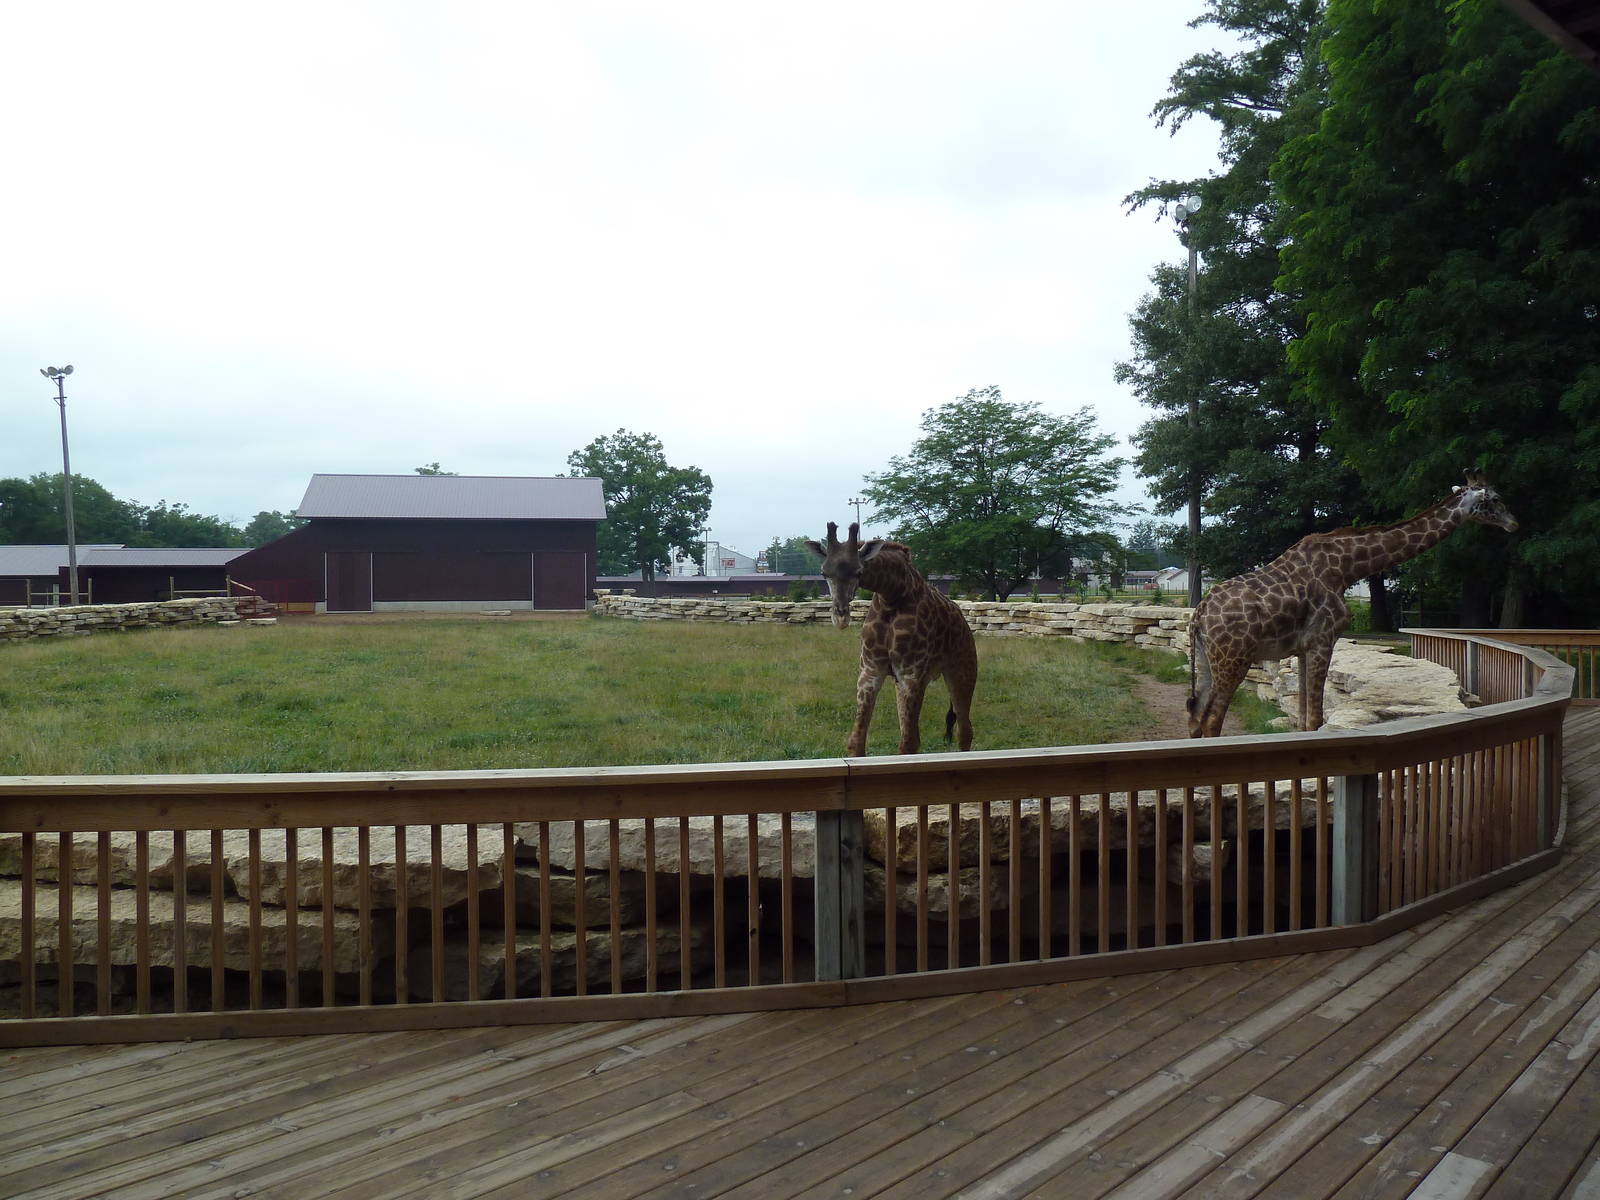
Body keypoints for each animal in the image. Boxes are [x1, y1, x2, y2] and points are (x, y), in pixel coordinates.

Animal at [805, 521, 978, 757]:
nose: (840, 617)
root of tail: (964, 623)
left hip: (962, 672)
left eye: (859, 572)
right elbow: (856, 741)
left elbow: (907, 745)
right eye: (824, 573)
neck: (892, 595)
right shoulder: (871, 671)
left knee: (964, 731)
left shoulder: (911, 674)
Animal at [1187, 469, 1519, 737]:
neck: (1347, 569)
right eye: (1495, 498)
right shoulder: (1323, 639)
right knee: (1212, 720)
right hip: (1234, 659)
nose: (1514, 523)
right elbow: (1315, 719)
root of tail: (1199, 616)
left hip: (1205, 659)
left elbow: (1304, 718)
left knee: (1195, 717)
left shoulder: (1304, 648)